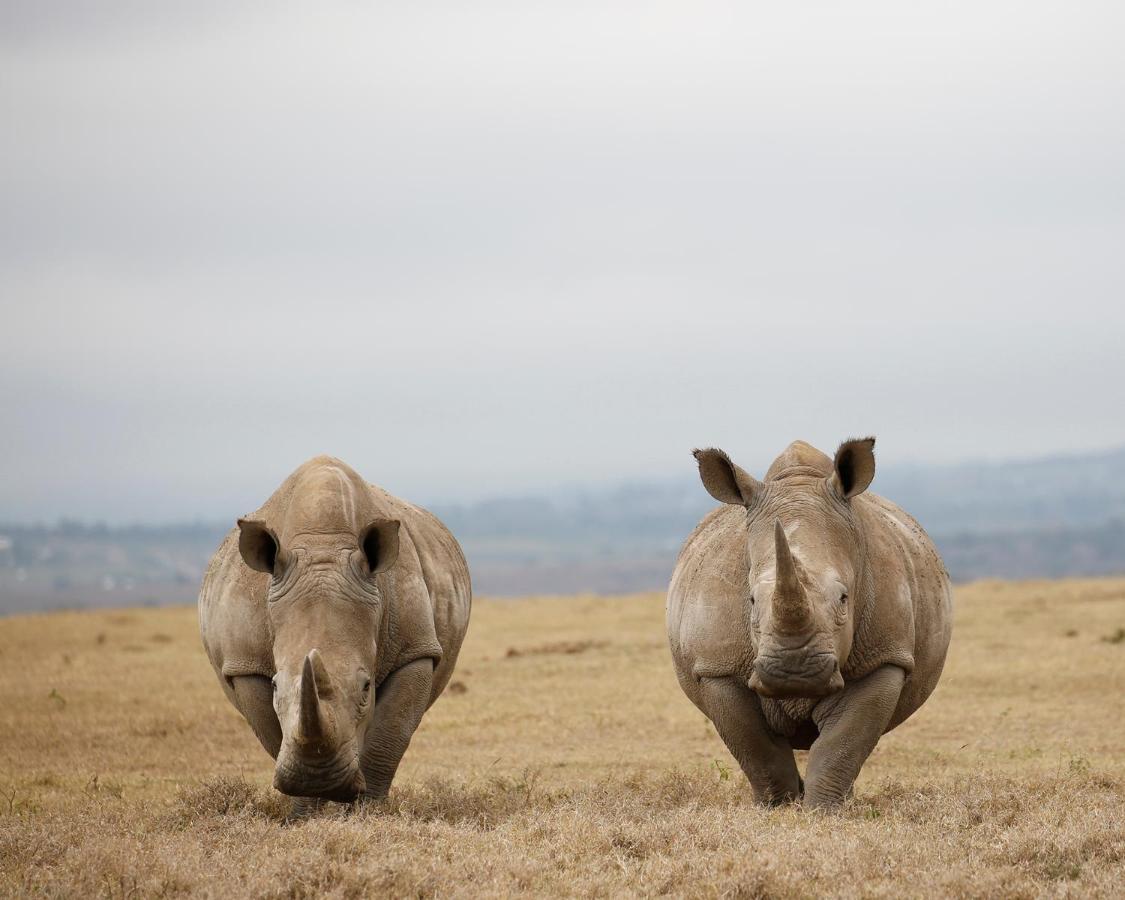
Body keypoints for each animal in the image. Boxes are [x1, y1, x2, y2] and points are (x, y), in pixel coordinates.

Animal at [198, 456, 470, 810]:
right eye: (275, 687)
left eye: (366, 688)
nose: (321, 779)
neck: (321, 543)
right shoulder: (244, 664)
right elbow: (274, 735)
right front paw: (308, 810)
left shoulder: (415, 649)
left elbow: (388, 736)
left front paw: (367, 810)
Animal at [661, 436, 954, 810]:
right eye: (751, 601)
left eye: (844, 598)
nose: (793, 672)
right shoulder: (716, 667)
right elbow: (758, 751)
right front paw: (777, 807)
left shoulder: (884, 658)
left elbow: (843, 744)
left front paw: (823, 810)